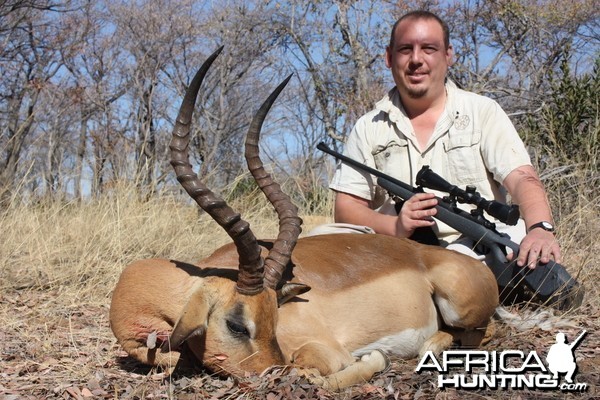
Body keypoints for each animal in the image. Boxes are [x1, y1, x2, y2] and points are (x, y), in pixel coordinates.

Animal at [110, 48, 500, 390]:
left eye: (274, 316)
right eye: (237, 325)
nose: (270, 373)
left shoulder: (326, 351)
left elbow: (321, 372)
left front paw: (375, 358)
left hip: (460, 309)